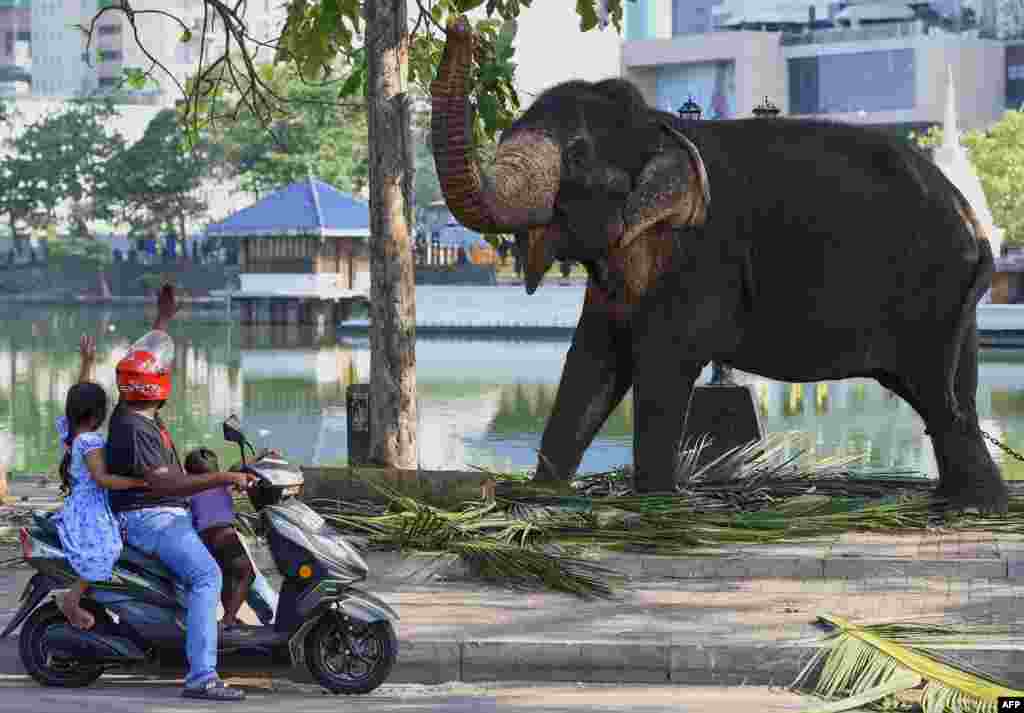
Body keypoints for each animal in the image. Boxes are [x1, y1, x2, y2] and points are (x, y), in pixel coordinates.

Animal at [430, 15, 1007, 506]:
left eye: (575, 156)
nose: (460, 28)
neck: (659, 125)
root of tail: (975, 222)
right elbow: (592, 361)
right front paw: (544, 494)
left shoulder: (700, 255)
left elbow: (664, 362)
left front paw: (656, 501)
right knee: (949, 397)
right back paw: (960, 501)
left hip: (933, 291)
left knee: (940, 397)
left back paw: (969, 506)